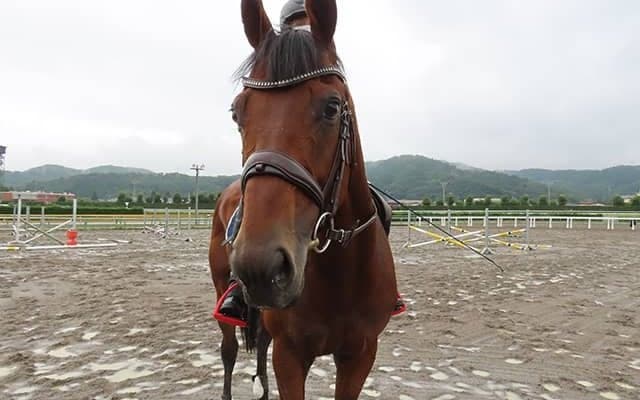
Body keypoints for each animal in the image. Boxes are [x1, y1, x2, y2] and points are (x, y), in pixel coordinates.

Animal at [208, 0, 399, 398]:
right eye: (237, 112)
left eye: (331, 107)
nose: (261, 266)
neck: (339, 272)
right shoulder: (291, 355)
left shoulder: (360, 353)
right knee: (229, 349)